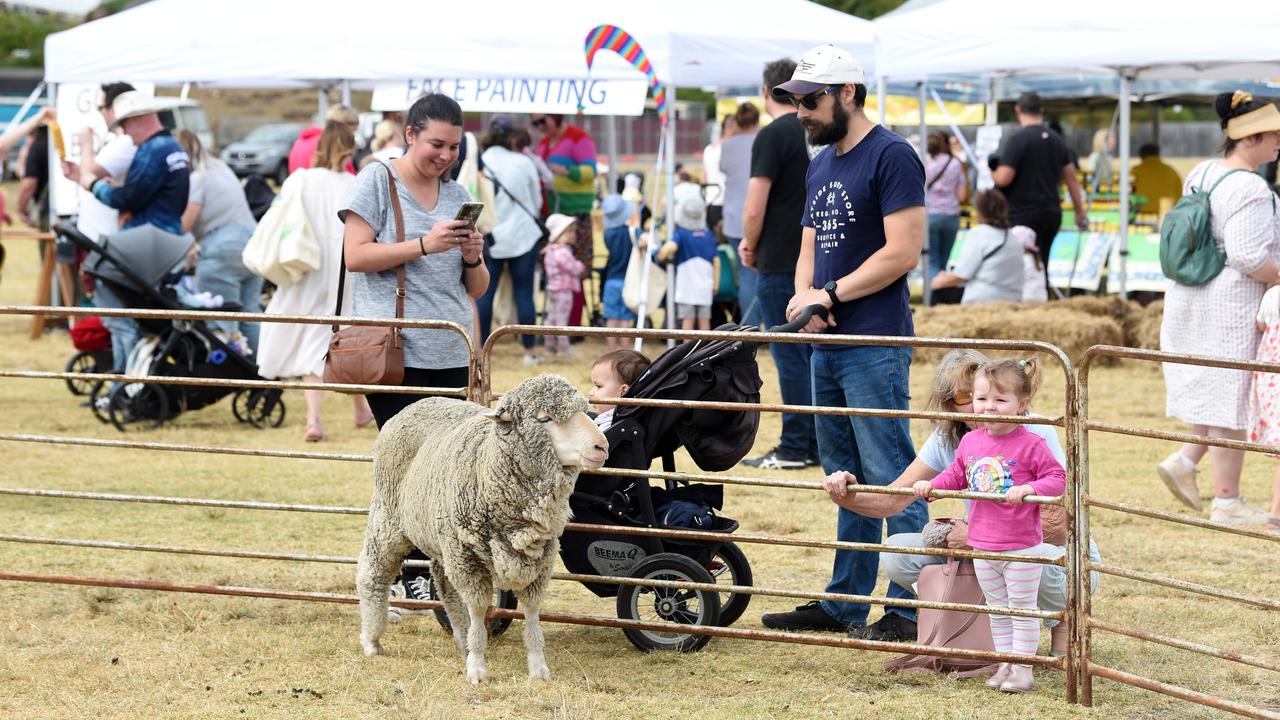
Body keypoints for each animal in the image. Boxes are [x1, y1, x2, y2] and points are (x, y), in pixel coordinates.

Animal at [353, 371, 606, 681]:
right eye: (544, 418)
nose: (602, 446)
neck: (489, 464)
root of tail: (418, 402)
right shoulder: (467, 557)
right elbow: (477, 609)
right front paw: (477, 667)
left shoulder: (539, 559)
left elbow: (532, 611)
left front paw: (537, 666)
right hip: (389, 517)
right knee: (373, 573)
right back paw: (372, 639)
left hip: (442, 537)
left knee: (443, 582)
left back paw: (461, 638)